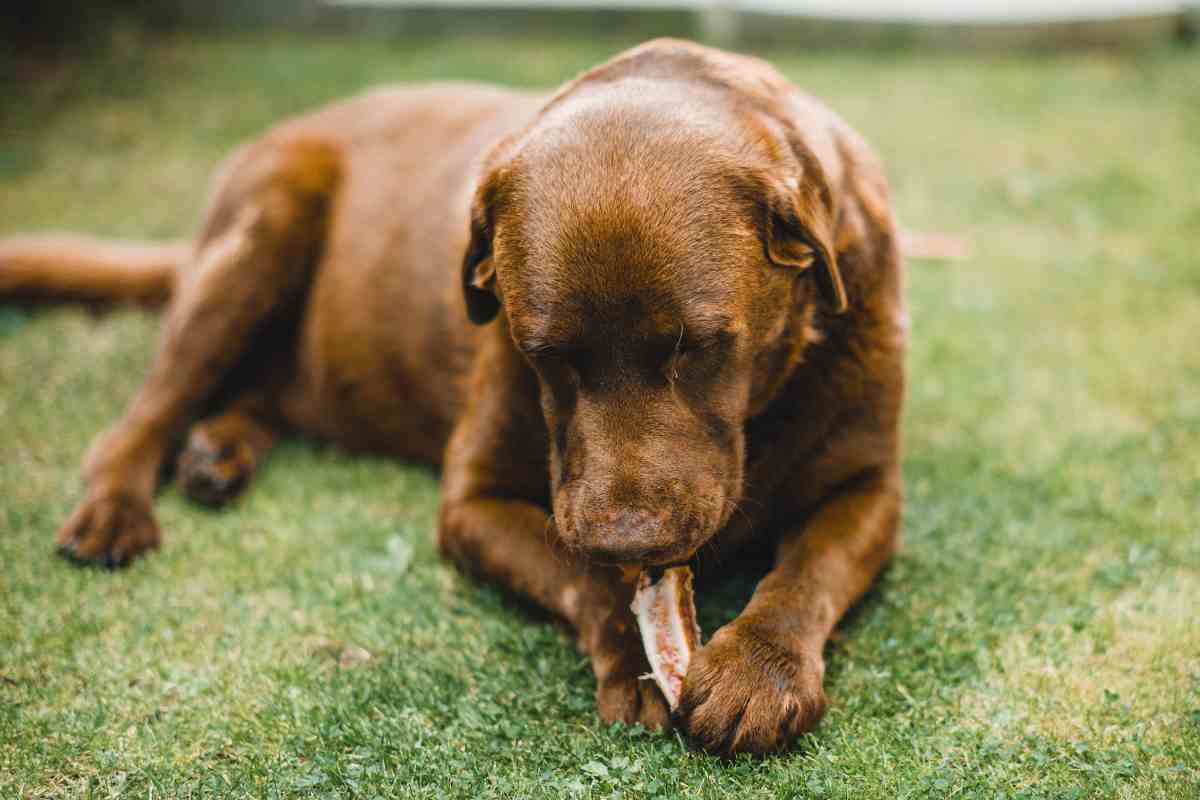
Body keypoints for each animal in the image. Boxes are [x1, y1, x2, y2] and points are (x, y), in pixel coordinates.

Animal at [0, 38, 902, 758]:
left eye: (698, 347)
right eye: (545, 355)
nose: (626, 539)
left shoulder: (871, 488)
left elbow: (808, 572)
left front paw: (757, 671)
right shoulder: (473, 501)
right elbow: (578, 576)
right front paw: (635, 661)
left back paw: (216, 454)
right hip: (262, 229)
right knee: (142, 416)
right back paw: (118, 509)